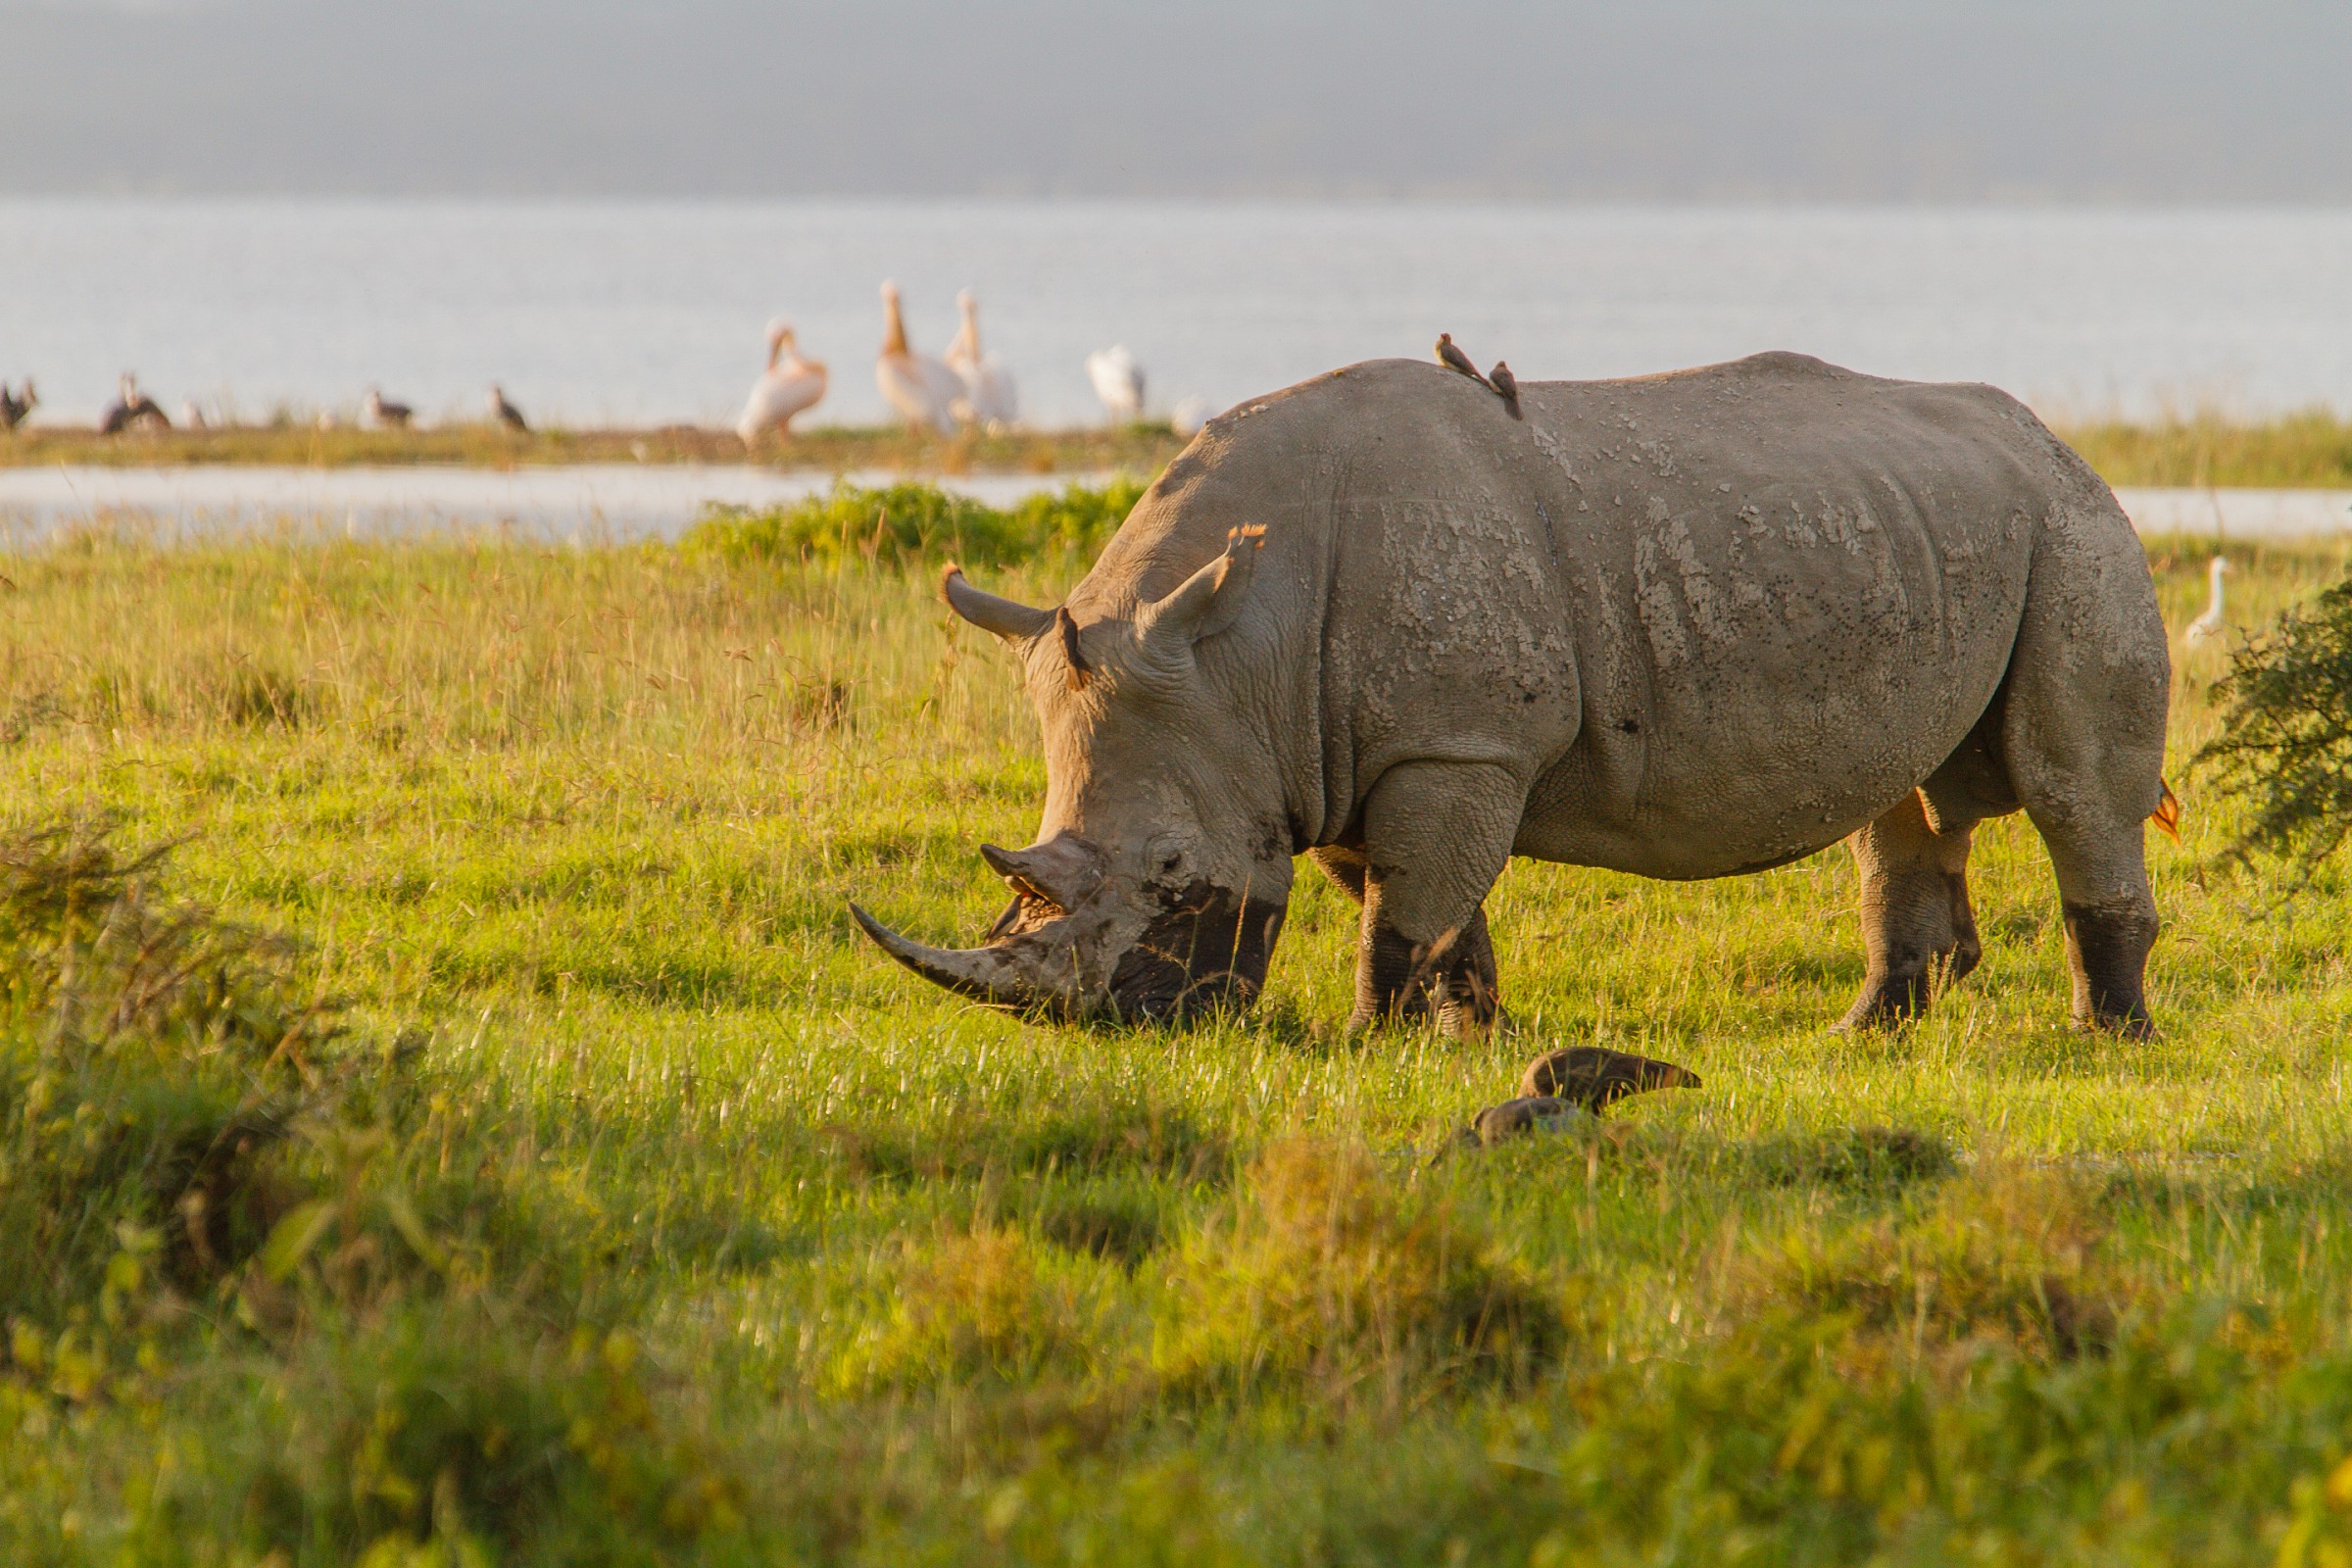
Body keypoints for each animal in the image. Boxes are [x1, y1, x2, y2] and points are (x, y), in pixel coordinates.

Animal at [852, 352, 2169, 1037]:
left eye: (1174, 872)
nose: (1132, 1027)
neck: (1243, 650)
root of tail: (2049, 436)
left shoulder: (1456, 742)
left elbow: (1404, 912)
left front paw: (1369, 1043)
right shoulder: (1346, 748)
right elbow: (1422, 904)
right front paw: (1469, 1032)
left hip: (2076, 527)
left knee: (2072, 790)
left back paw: (2104, 1036)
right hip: (1930, 530)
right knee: (1901, 800)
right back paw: (1865, 1035)